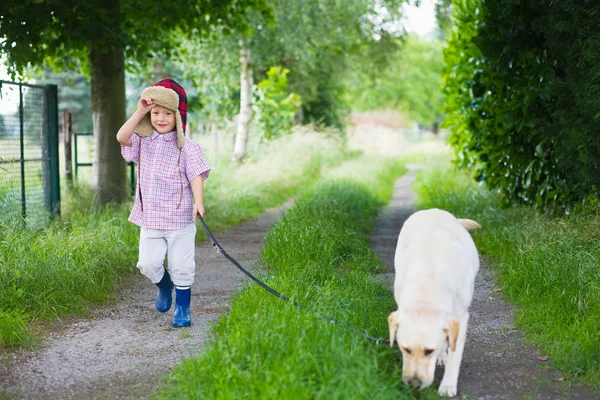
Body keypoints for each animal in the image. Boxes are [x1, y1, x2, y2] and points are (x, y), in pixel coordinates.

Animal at [386, 209, 480, 396]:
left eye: (429, 351)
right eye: (405, 349)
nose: (414, 383)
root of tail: (433, 209)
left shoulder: (461, 318)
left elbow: (455, 353)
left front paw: (448, 385)